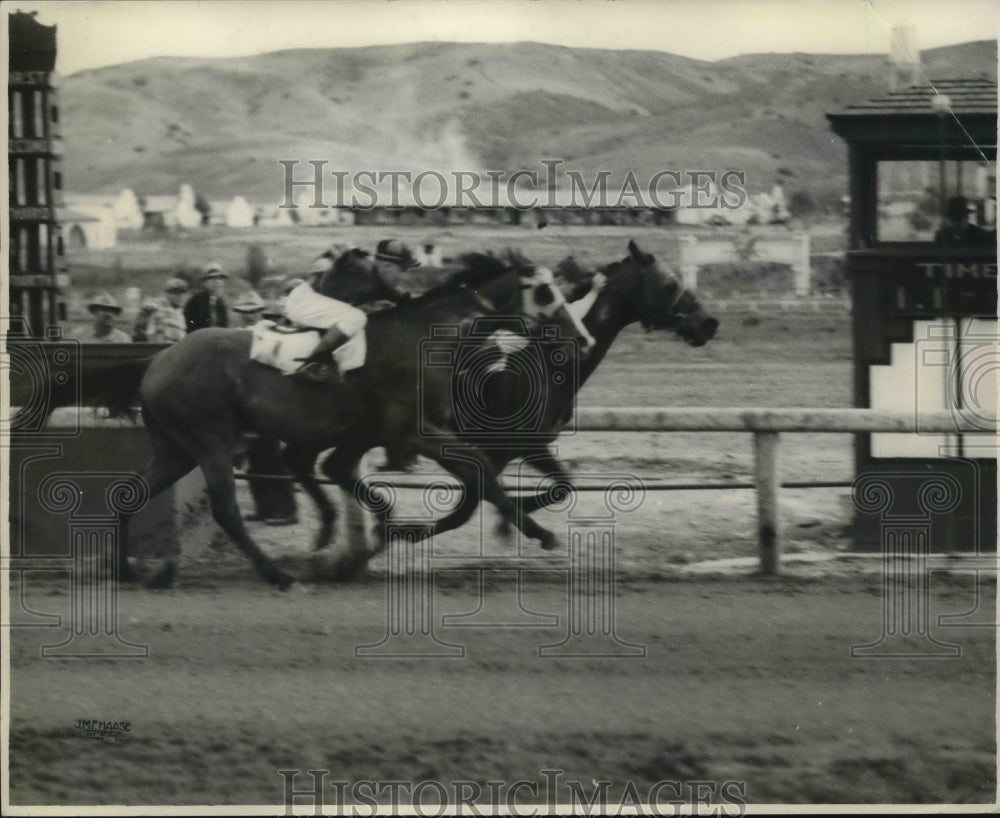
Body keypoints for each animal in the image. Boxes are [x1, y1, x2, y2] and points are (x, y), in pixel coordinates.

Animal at [80, 249, 592, 588]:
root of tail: (156, 360)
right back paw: (277, 574)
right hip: (211, 443)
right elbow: (481, 473)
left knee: (128, 495)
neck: (422, 336)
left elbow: (469, 478)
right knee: (226, 509)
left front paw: (379, 536)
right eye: (545, 291)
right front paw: (541, 532)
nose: (581, 338)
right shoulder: (413, 433)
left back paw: (128, 570)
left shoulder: (384, 433)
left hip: (176, 448)